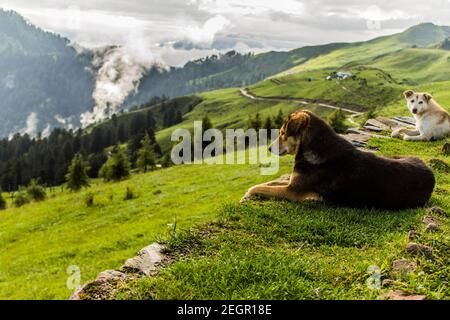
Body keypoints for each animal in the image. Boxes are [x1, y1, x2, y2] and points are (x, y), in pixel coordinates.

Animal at [243, 110, 436, 210]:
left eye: (283, 133)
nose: (269, 149)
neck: (315, 146)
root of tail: (430, 172)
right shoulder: (291, 184)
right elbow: (269, 184)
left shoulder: (292, 191)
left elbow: (259, 187)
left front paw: (247, 193)